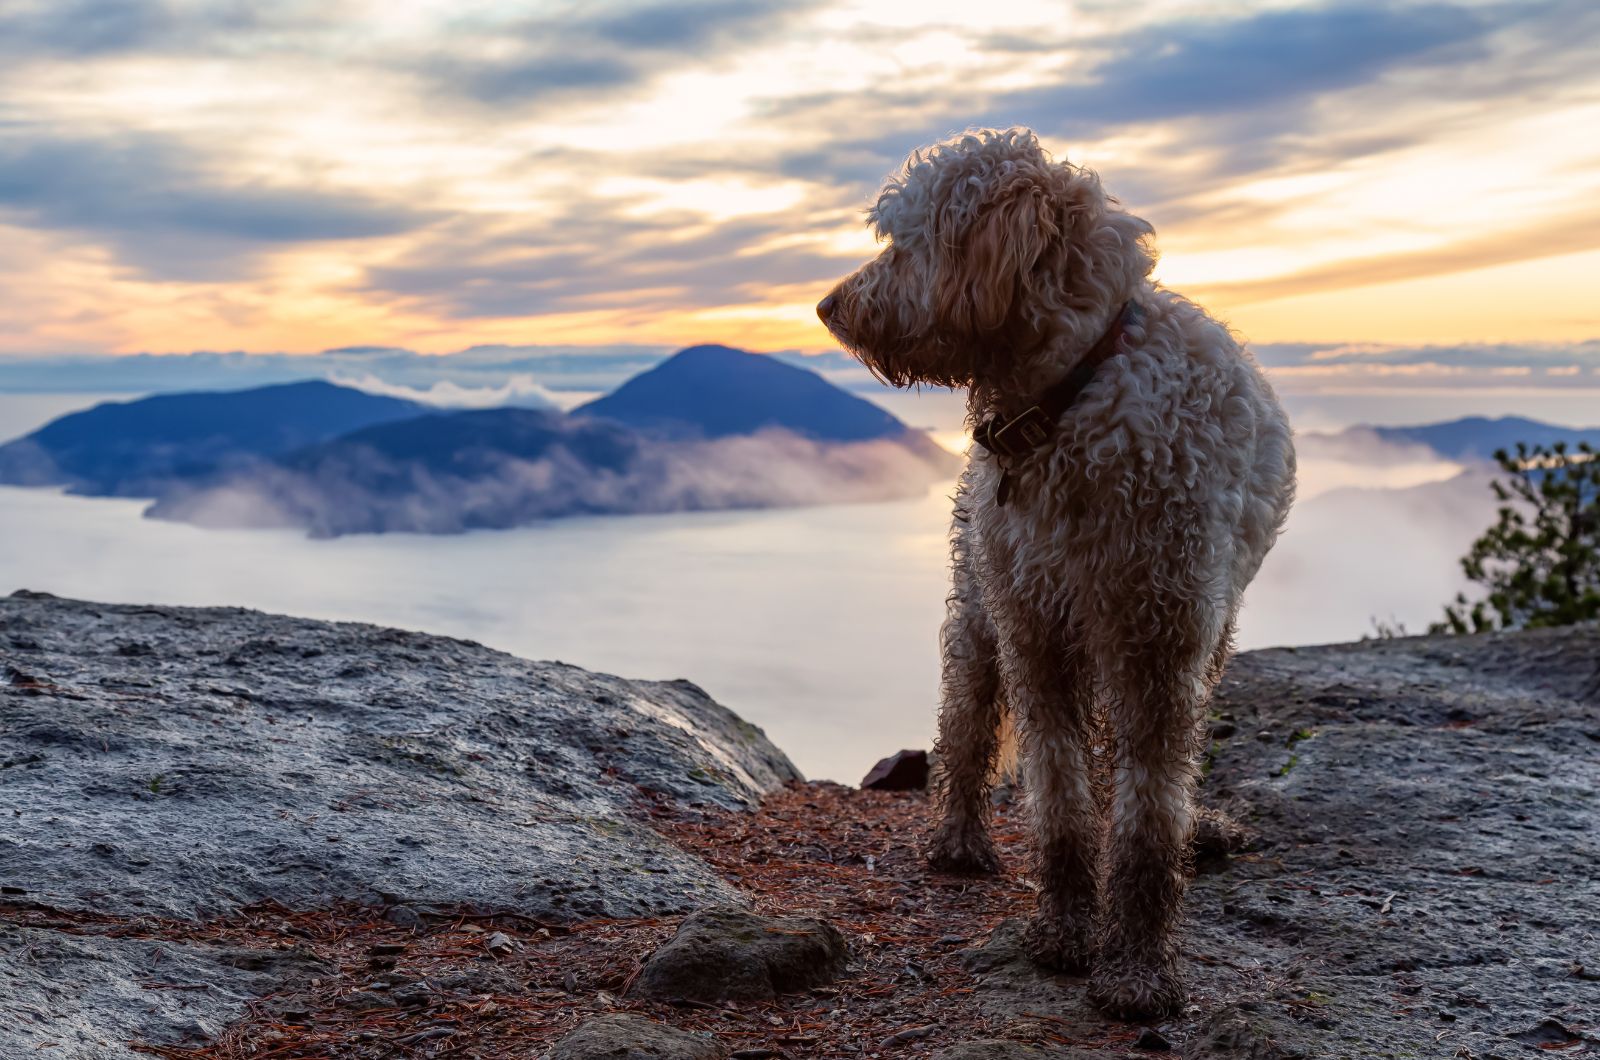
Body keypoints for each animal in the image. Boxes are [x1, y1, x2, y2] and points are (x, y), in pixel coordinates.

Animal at [819, 128, 1292, 1024]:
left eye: (903, 241)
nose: (828, 308)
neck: (1070, 400)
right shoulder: (1037, 635)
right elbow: (1062, 800)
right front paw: (1069, 929)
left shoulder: (1162, 644)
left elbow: (1147, 819)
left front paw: (1137, 965)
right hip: (980, 612)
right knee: (965, 729)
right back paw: (958, 837)